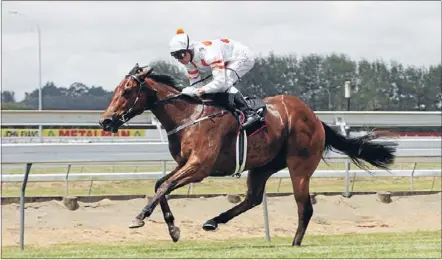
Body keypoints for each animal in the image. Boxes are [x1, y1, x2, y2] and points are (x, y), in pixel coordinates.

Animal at [98, 63, 396, 246]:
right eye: (116, 90)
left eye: (127, 91)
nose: (106, 121)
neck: (188, 116)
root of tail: (315, 118)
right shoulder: (185, 163)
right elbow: (161, 184)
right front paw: (173, 229)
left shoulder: (200, 166)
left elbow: (165, 186)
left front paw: (140, 217)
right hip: (262, 165)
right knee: (253, 198)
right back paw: (213, 221)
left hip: (299, 165)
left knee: (305, 207)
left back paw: (294, 243)